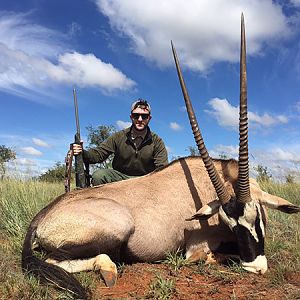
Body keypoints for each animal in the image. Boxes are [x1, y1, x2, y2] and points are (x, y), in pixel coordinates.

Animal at [22, 15, 298, 298]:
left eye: (258, 216)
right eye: (231, 223)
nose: (255, 267)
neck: (207, 184)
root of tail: (42, 217)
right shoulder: (195, 248)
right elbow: (209, 256)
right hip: (116, 226)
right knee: (56, 260)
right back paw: (109, 269)